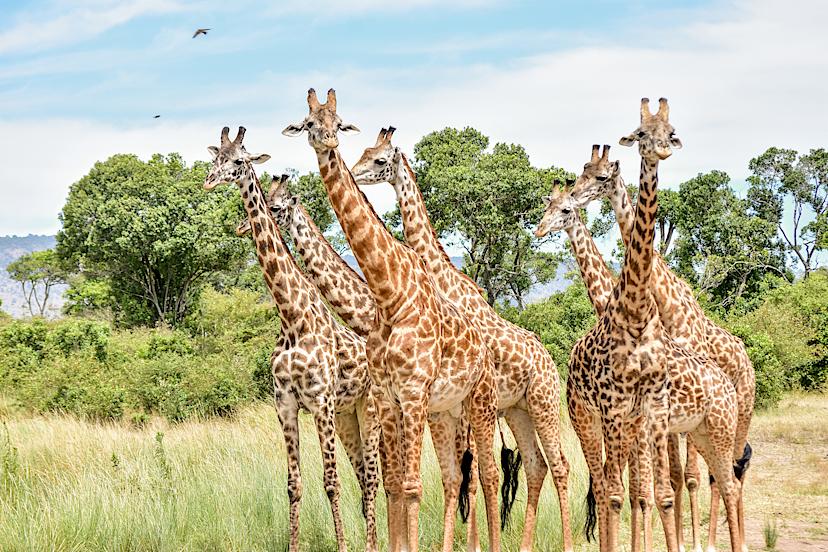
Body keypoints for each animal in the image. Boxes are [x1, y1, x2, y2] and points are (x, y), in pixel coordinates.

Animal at [204, 128, 381, 552]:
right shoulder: (284, 405)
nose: (209, 181)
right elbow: (293, 485)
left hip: (367, 409)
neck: (291, 319)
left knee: (372, 479)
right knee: (364, 476)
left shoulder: (320, 403)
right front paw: (293, 545)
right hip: (348, 416)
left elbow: (331, 483)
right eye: (215, 157)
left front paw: (342, 545)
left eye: (239, 160)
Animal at [235, 174, 485, 552]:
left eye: (277, 206)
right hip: (352, 418)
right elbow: (377, 480)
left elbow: (380, 479)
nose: (240, 226)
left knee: (469, 470)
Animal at [283, 88, 502, 552]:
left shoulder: (413, 393)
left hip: (481, 401)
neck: (388, 292)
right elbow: (396, 485)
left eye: (338, 121)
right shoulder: (387, 397)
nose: (328, 142)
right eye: (308, 123)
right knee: (457, 476)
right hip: (447, 411)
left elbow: (413, 487)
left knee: (488, 474)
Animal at [351, 126, 574, 552]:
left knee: (560, 464)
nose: (354, 174)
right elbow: (463, 475)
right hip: (518, 410)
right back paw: (524, 544)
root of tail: (549, 360)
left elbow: (474, 474)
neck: (444, 282)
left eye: (379, 159)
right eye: (364, 152)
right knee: (536, 465)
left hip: (544, 403)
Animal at [535, 178, 744, 552]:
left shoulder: (641, 426)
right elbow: (630, 489)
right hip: (692, 429)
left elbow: (643, 491)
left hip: (731, 416)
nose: (540, 229)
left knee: (714, 475)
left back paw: (708, 543)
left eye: (565, 210)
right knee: (712, 475)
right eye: (547, 206)